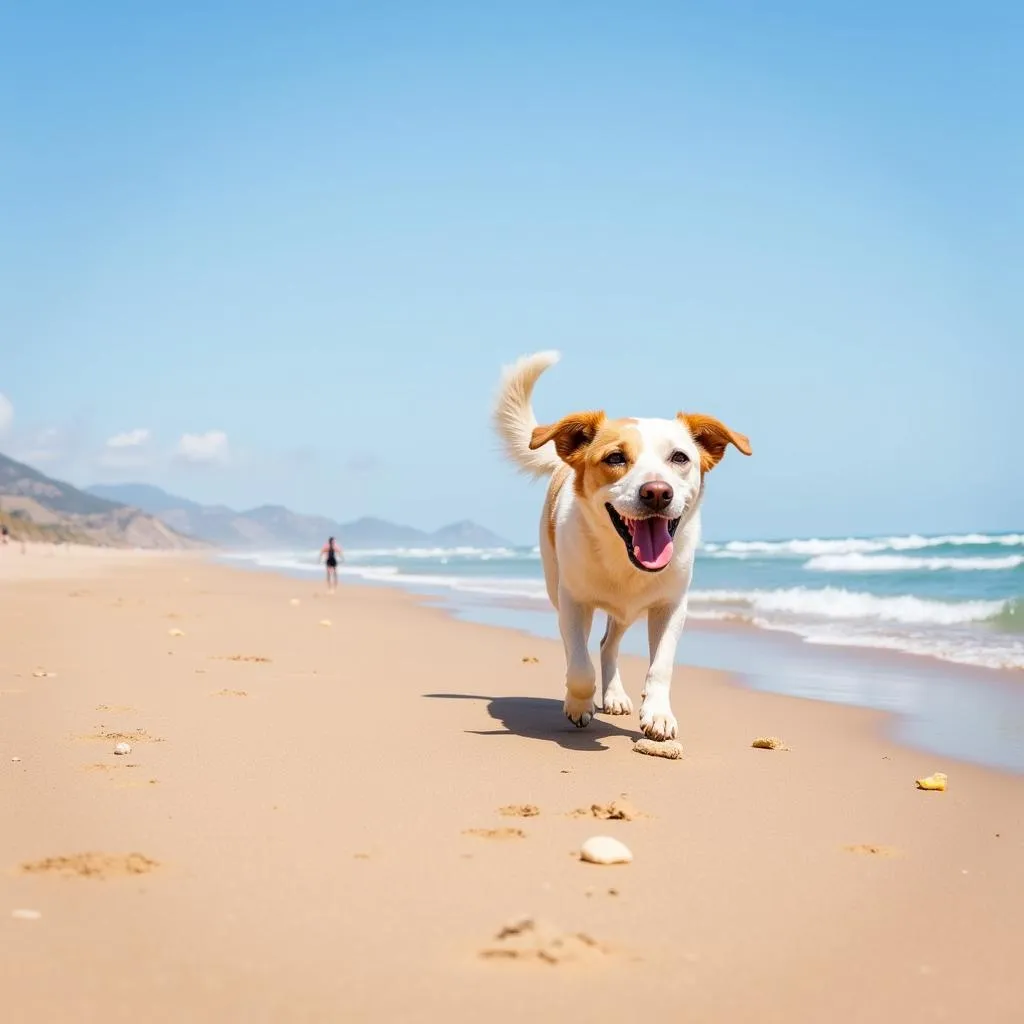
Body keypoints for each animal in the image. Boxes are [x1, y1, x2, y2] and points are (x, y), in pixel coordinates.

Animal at [491, 350, 749, 737]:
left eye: (680, 457)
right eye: (615, 457)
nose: (657, 492)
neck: (621, 559)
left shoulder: (671, 607)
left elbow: (661, 665)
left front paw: (658, 714)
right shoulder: (573, 602)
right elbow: (579, 666)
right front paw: (578, 704)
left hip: (627, 613)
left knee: (607, 644)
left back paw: (614, 695)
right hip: (556, 587)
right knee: (581, 647)